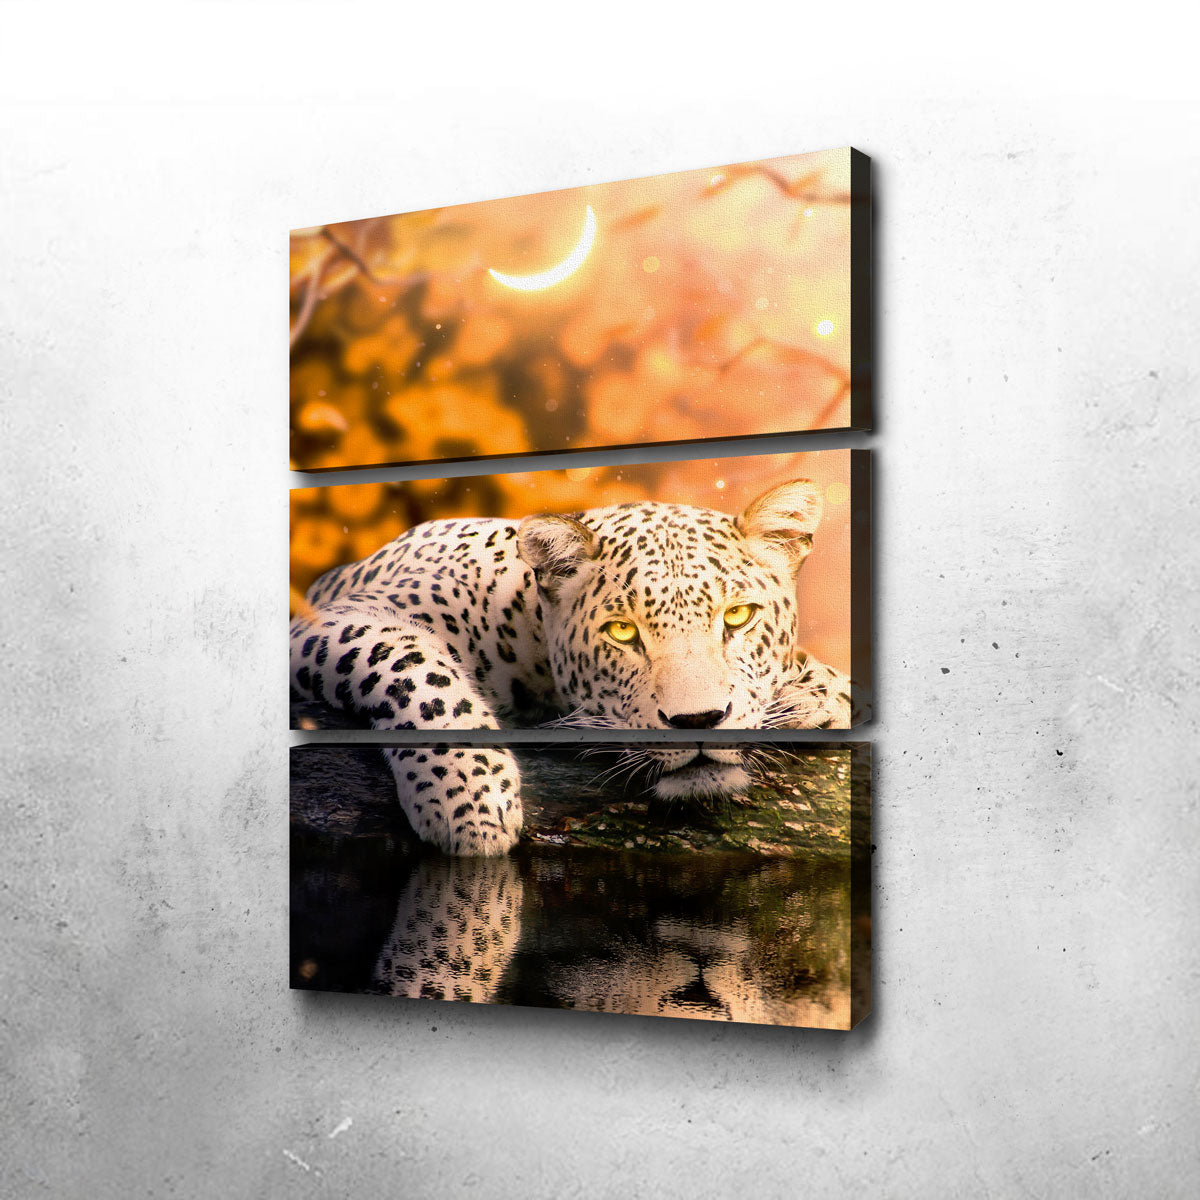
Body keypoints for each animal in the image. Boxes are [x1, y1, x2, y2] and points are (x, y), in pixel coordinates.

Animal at [289, 478, 852, 856]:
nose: (698, 722)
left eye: (737, 616)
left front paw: (816, 694)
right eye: (622, 631)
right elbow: (411, 662)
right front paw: (471, 795)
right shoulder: (336, 618)